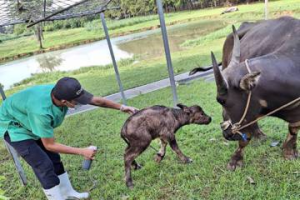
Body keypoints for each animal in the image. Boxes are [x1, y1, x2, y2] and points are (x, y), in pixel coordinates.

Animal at [211, 16, 300, 170]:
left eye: (222, 100)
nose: (226, 133)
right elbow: (244, 139)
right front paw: (235, 161)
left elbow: (294, 128)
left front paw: (289, 151)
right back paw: (258, 135)